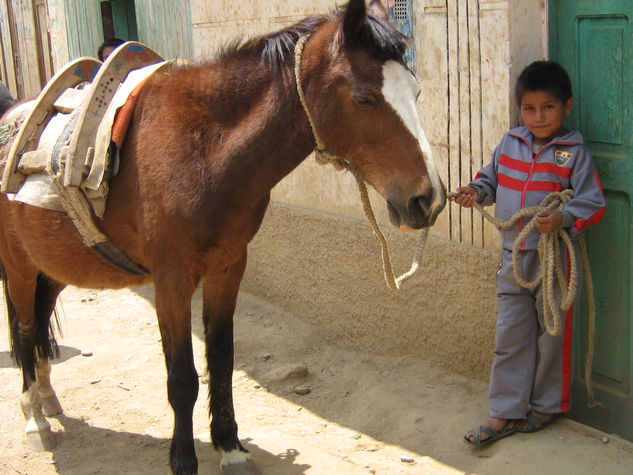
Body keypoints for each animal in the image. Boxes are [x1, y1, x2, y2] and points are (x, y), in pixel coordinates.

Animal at [0, 1, 444, 474]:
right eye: (364, 98)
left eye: (416, 93)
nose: (429, 199)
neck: (202, 152)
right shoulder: (172, 280)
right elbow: (181, 377)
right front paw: (183, 458)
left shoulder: (228, 267)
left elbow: (223, 359)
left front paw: (229, 445)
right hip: (18, 265)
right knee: (24, 330)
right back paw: (35, 418)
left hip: (53, 264)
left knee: (40, 322)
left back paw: (47, 399)